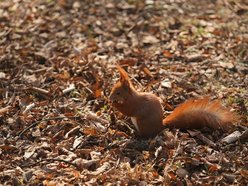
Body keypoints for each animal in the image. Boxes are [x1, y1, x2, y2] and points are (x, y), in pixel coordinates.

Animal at [109, 66, 237, 137]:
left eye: (118, 93)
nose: (110, 98)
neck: (130, 96)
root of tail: (161, 126)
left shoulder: (134, 104)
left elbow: (127, 110)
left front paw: (114, 104)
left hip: (142, 124)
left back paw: (134, 134)